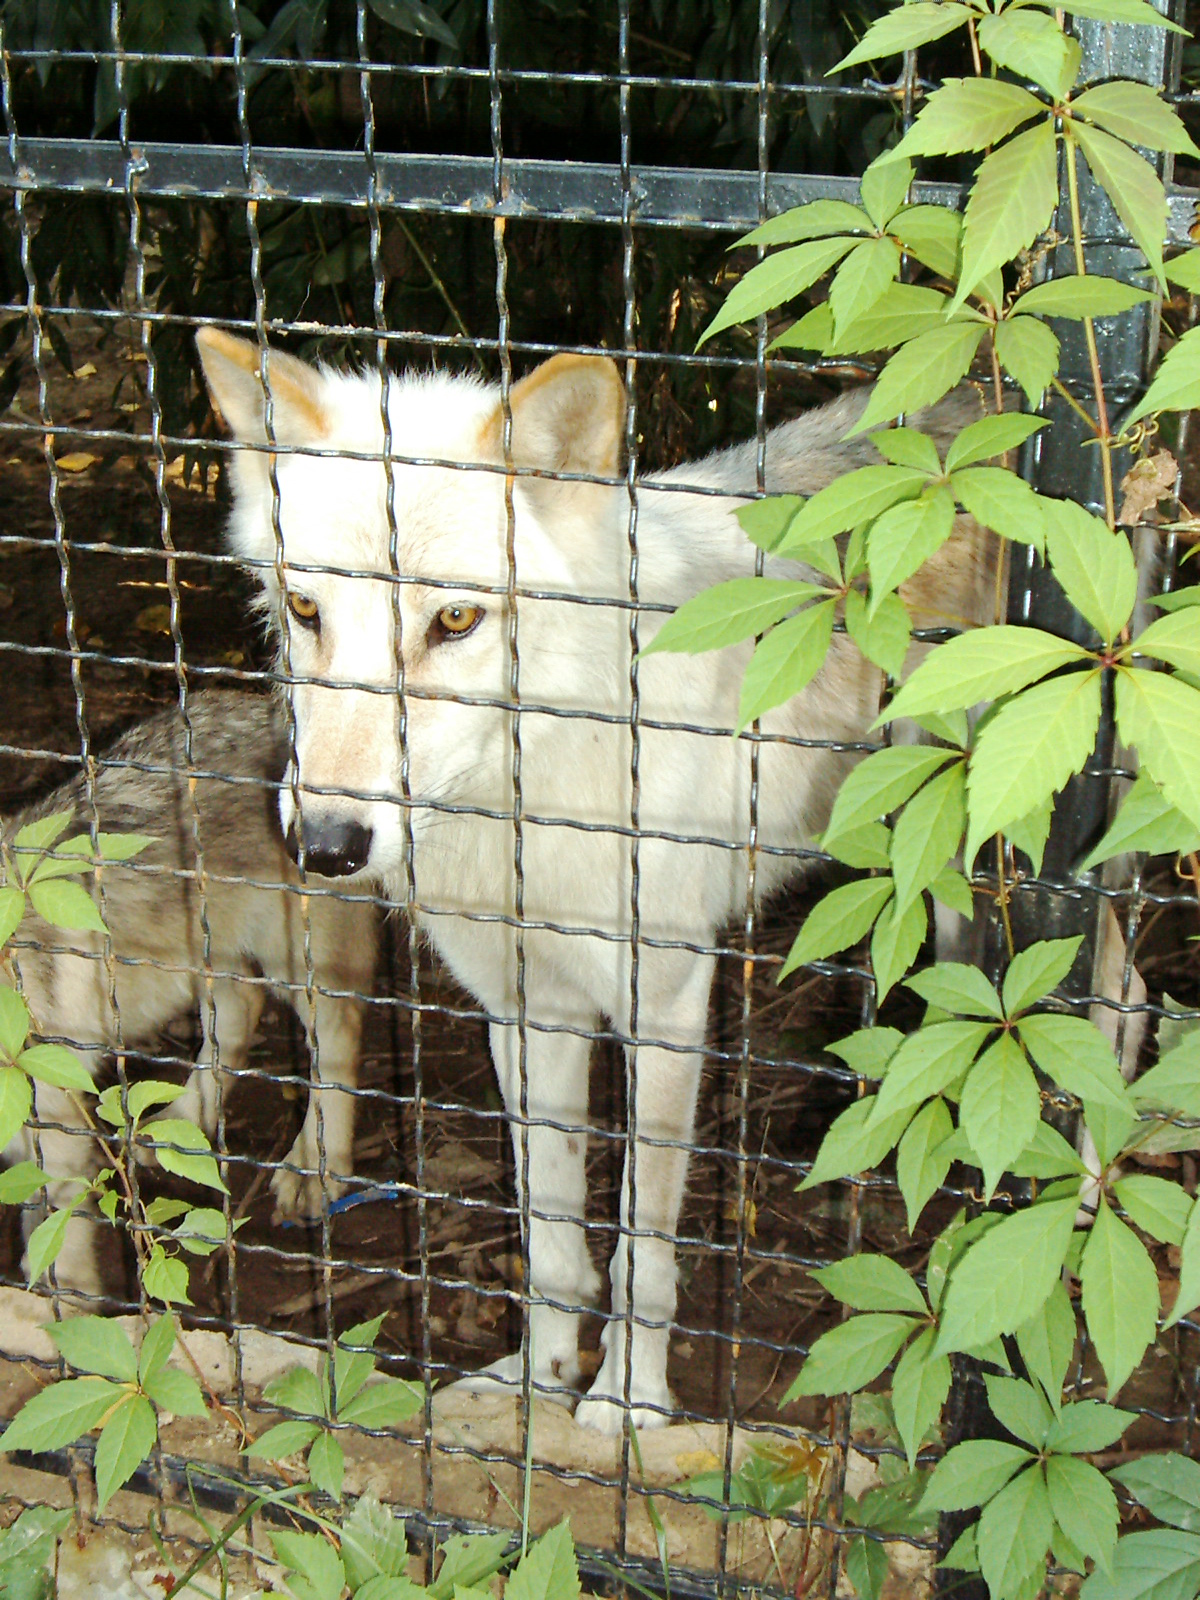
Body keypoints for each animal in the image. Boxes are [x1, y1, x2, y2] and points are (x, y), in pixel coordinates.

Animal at [3, 690, 377, 1300]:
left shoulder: (53, 1123)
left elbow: (60, 1243)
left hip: (292, 957)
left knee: (335, 1040)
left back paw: (313, 1173)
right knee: (239, 1013)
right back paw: (179, 1122)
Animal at [194, 329, 1143, 1431]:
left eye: (457, 619)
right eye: (305, 608)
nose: (327, 844)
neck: (528, 795)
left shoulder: (668, 1008)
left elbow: (642, 1245)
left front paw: (627, 1403)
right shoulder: (527, 1010)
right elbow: (551, 1236)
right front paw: (538, 1383)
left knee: (1119, 1004)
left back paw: (1081, 1206)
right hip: (939, 877)